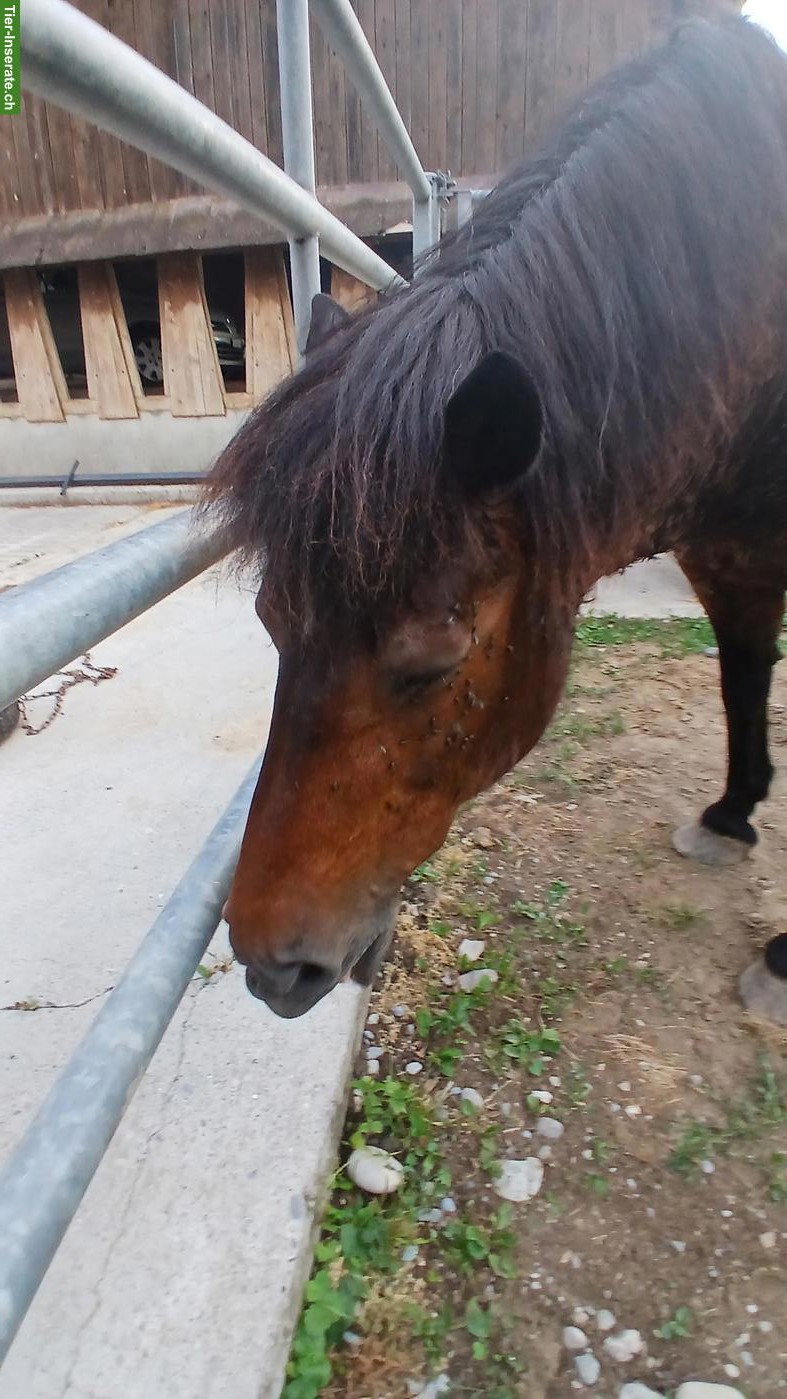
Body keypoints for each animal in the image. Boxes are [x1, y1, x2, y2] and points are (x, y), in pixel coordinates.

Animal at [205, 15, 787, 1022]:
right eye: (271, 624)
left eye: (431, 664)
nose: (272, 967)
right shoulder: (729, 548)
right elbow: (742, 675)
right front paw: (728, 815)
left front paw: (782, 960)